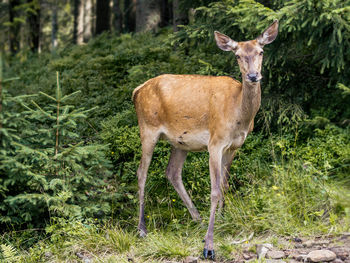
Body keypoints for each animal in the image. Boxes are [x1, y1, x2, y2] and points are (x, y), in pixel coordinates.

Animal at [131, 20, 278, 260]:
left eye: (261, 51)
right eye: (237, 55)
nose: (253, 76)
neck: (239, 114)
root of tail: (137, 90)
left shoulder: (234, 146)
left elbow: (225, 184)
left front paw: (222, 221)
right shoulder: (215, 142)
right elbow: (215, 190)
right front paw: (209, 245)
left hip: (179, 142)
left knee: (172, 172)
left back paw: (197, 219)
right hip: (147, 128)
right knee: (142, 172)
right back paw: (142, 228)